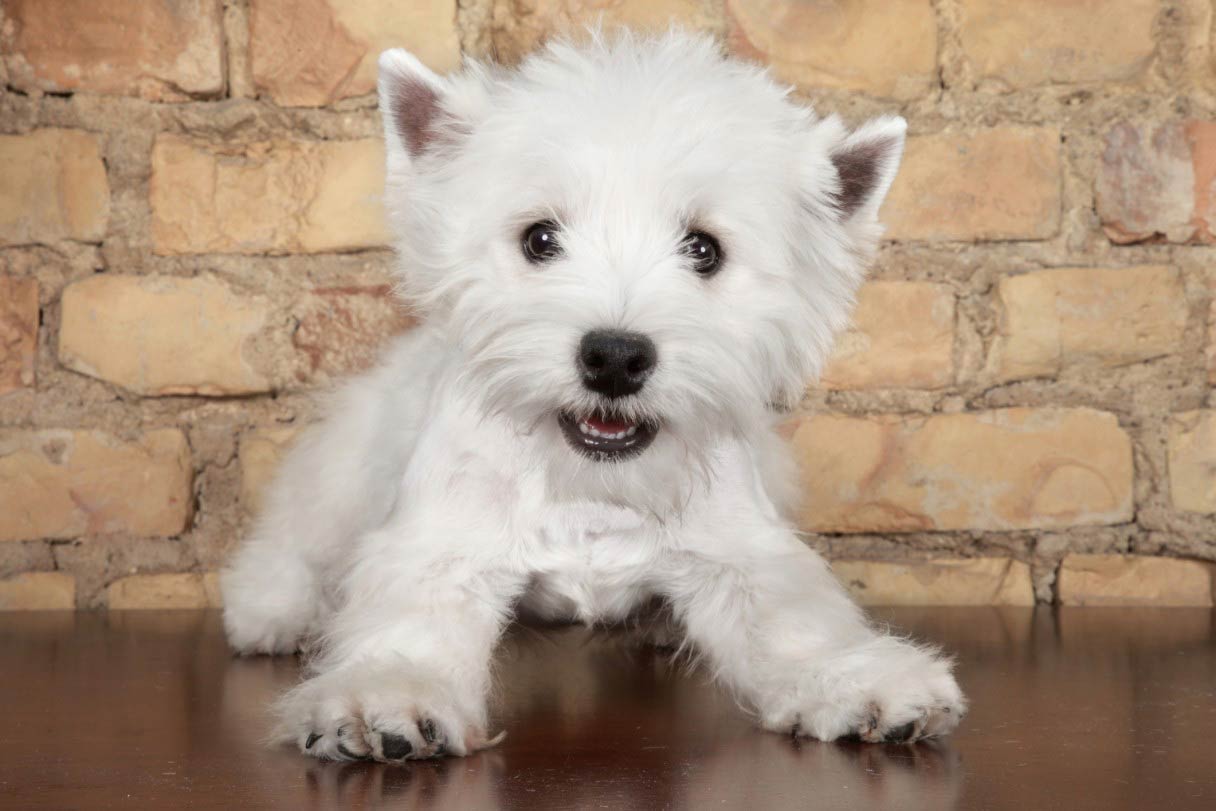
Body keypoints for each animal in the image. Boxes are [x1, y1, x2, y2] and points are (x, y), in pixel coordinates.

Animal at [223, 31, 967, 763]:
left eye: (704, 249)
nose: (614, 357)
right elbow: (410, 627)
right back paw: (272, 611)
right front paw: (381, 698)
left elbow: (796, 624)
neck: (591, 489)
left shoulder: (742, 552)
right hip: (344, 474)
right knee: (300, 542)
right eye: (540, 239)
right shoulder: (443, 547)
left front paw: (865, 681)